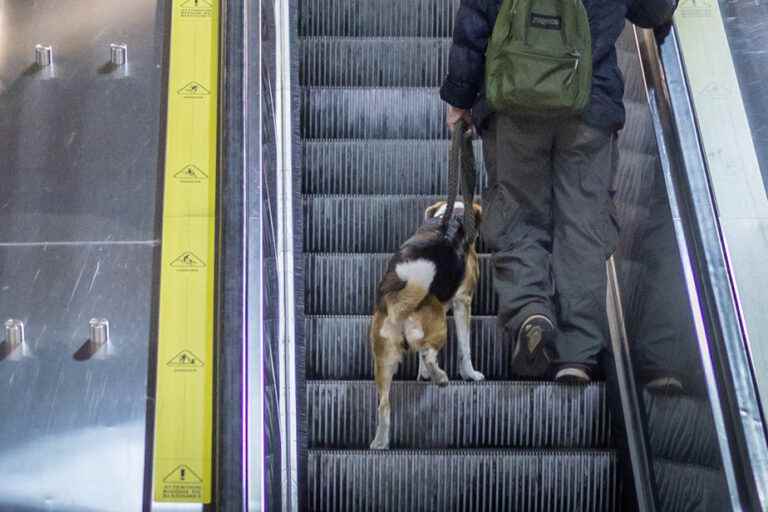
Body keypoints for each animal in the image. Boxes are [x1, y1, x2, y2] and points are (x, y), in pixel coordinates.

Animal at [368, 200, 484, 448]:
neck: (450, 217)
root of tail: (398, 302)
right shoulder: (463, 300)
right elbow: (465, 348)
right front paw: (470, 373)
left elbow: (420, 354)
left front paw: (422, 374)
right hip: (439, 324)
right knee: (430, 354)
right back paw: (440, 377)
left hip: (383, 359)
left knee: (384, 405)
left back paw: (380, 442)